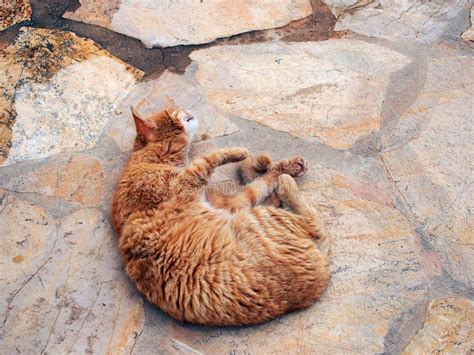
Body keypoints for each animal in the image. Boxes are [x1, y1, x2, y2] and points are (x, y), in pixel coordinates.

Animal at [111, 107, 330, 326]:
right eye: (174, 111)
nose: (186, 108)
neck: (150, 159)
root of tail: (321, 276)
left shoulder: (225, 203)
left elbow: (258, 185)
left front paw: (277, 165)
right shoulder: (189, 182)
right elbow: (212, 159)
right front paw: (241, 153)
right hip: (257, 219)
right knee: (317, 227)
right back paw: (285, 184)